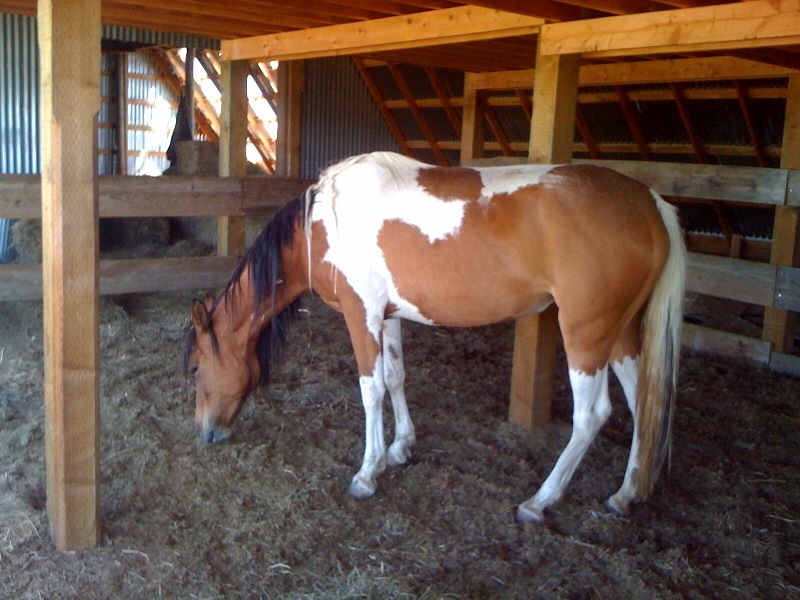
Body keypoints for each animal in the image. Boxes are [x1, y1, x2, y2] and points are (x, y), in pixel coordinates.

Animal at [183, 152, 688, 524]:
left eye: (195, 367)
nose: (206, 432)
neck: (324, 223)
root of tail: (650, 204)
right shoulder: (386, 316)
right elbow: (396, 377)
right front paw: (399, 448)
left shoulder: (361, 314)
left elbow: (371, 390)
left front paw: (367, 473)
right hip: (620, 335)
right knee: (643, 401)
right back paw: (626, 494)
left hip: (586, 334)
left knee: (591, 416)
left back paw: (539, 502)